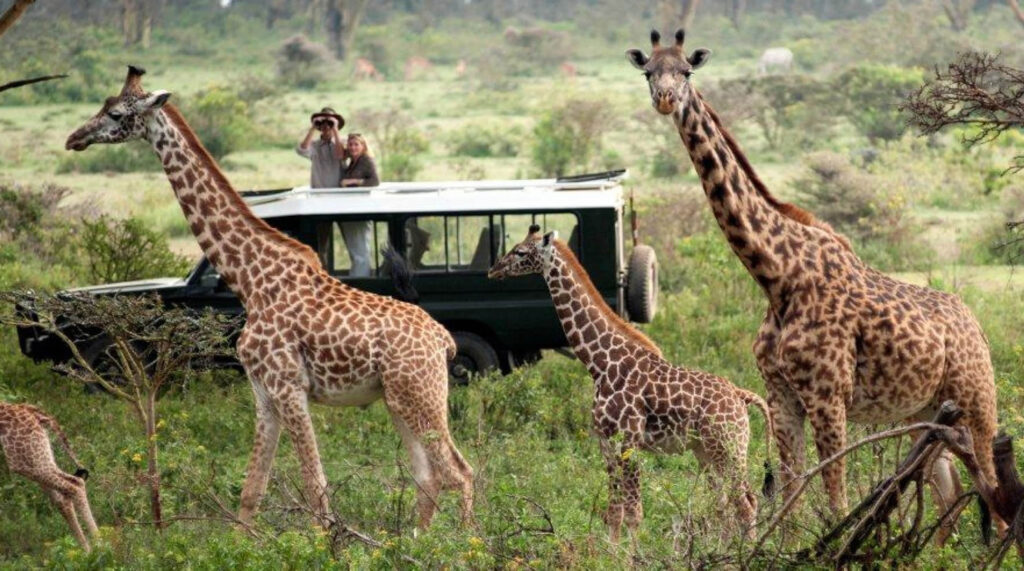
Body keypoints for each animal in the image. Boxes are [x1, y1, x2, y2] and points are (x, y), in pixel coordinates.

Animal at [1, 401, 97, 552]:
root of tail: (28, 409)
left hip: (23, 460)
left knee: (74, 485)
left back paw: (101, 546)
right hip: (37, 457)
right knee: (63, 496)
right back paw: (87, 551)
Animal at [66, 68, 473, 532]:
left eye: (116, 113)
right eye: (102, 105)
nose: (75, 138)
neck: (250, 281)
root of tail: (443, 340)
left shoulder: (288, 386)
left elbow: (315, 487)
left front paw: (326, 542)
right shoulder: (263, 394)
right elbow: (251, 492)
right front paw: (243, 539)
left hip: (420, 393)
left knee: (459, 472)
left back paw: (465, 543)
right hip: (398, 397)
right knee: (428, 475)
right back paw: (415, 541)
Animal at [487, 226, 770, 544]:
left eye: (520, 252)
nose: (493, 270)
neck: (600, 364)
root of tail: (740, 395)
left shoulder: (630, 438)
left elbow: (635, 512)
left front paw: (634, 553)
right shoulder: (605, 439)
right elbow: (614, 511)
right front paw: (612, 551)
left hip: (730, 447)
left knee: (745, 503)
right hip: (705, 451)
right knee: (724, 505)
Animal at [622, 30, 999, 532]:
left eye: (687, 72)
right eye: (648, 72)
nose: (665, 100)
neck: (777, 277)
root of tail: (977, 325)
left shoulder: (828, 396)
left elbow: (835, 496)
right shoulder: (780, 396)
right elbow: (790, 496)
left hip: (977, 403)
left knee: (993, 488)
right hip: (927, 413)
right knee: (949, 489)